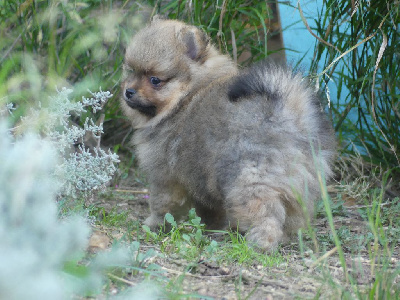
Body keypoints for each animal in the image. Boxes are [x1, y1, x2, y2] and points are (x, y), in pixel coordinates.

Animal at [120, 17, 336, 251]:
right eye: (131, 71)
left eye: (154, 80)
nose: (128, 91)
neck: (185, 97)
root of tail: (290, 113)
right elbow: (210, 209)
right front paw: (212, 228)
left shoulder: (165, 176)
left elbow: (163, 204)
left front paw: (155, 224)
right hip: (302, 181)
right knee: (294, 213)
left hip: (249, 181)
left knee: (264, 213)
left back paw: (260, 244)